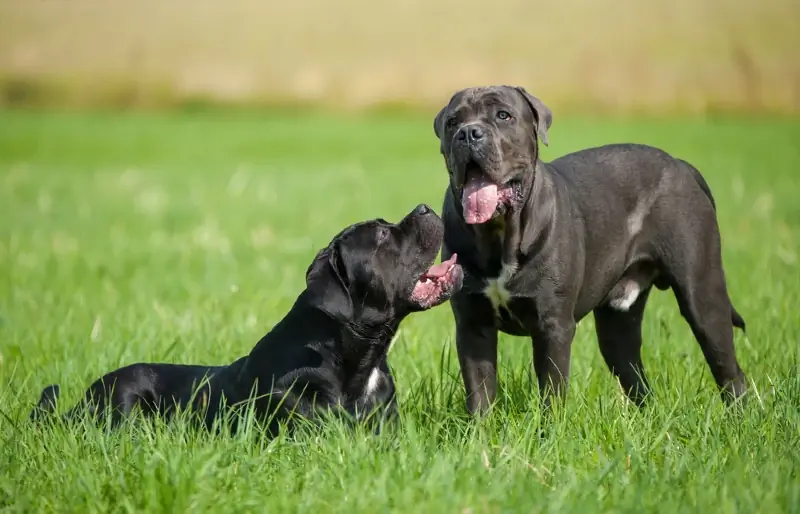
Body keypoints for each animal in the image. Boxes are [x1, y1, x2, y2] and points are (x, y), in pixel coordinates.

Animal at [434, 84, 748, 412]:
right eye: (453, 122)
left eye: (503, 115)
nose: (469, 133)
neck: (499, 235)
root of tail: (682, 165)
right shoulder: (472, 326)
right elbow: (480, 392)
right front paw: (479, 425)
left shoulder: (553, 327)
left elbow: (552, 391)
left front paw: (550, 425)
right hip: (617, 325)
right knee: (636, 378)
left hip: (702, 296)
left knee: (728, 369)